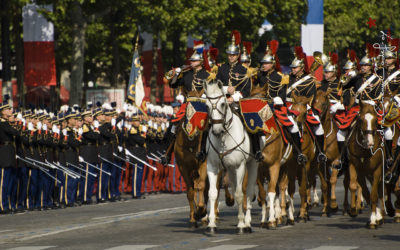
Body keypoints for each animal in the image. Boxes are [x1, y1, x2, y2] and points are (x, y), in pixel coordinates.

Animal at [203, 80, 260, 234]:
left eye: (223, 103)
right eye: (207, 105)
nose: (217, 130)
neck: (224, 137)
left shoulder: (240, 166)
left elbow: (240, 195)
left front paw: (241, 225)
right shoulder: (212, 166)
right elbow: (212, 193)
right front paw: (211, 224)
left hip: (251, 165)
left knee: (248, 191)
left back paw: (247, 223)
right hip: (230, 169)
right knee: (234, 188)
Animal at [346, 99, 384, 229]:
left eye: (376, 120)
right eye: (360, 119)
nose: (370, 142)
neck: (364, 150)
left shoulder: (377, 170)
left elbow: (374, 195)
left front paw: (373, 220)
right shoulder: (355, 167)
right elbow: (355, 187)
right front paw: (353, 210)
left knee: (379, 191)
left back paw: (380, 216)